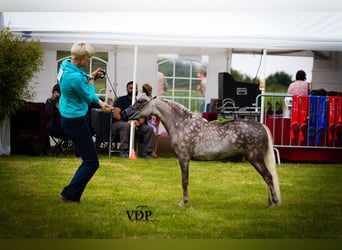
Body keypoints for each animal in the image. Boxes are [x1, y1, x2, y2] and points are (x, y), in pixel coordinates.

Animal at [123, 94, 280, 207]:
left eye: (140, 101)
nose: (124, 113)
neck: (182, 124)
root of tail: (261, 125)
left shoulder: (184, 158)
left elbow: (184, 180)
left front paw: (183, 202)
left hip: (255, 158)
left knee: (268, 177)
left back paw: (273, 203)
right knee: (267, 178)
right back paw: (270, 202)